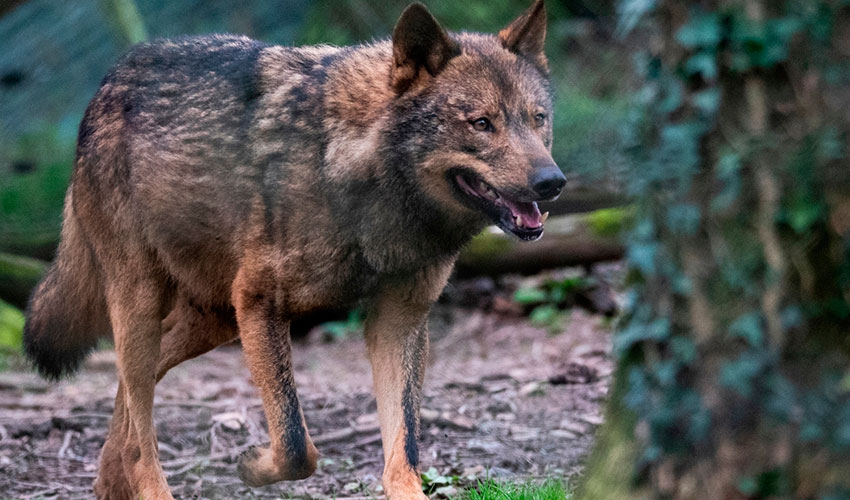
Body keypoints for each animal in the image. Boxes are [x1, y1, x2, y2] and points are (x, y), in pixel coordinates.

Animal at [21, 1, 564, 498]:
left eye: (538, 119)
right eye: (481, 123)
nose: (552, 182)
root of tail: (109, 79)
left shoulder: (400, 318)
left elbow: (403, 449)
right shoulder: (261, 304)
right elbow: (297, 445)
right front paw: (251, 465)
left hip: (213, 319)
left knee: (132, 398)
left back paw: (108, 480)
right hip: (147, 303)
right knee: (140, 435)